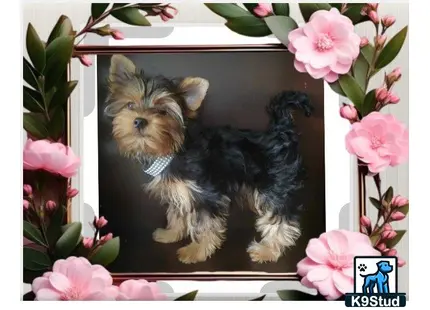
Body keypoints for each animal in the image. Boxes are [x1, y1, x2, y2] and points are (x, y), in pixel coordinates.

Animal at [104, 55, 312, 264]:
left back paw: (267, 250)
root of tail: (279, 132)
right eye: (130, 105)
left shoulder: (206, 194)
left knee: (281, 216)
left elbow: (205, 224)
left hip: (275, 185)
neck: (173, 148)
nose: (139, 120)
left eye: (162, 112)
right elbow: (177, 212)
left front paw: (196, 251)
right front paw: (171, 233)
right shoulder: (179, 190)